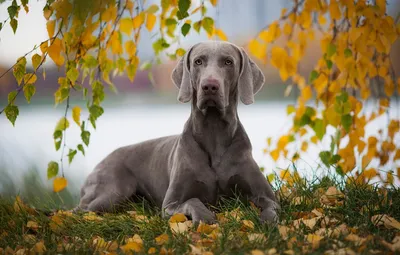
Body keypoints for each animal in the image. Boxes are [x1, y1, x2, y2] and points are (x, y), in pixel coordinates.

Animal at [78, 40, 278, 222]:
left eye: (228, 62)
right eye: (198, 61)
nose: (209, 86)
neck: (214, 131)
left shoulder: (267, 196)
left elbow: (271, 208)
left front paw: (266, 223)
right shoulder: (170, 204)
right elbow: (193, 201)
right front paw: (206, 219)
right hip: (113, 191)